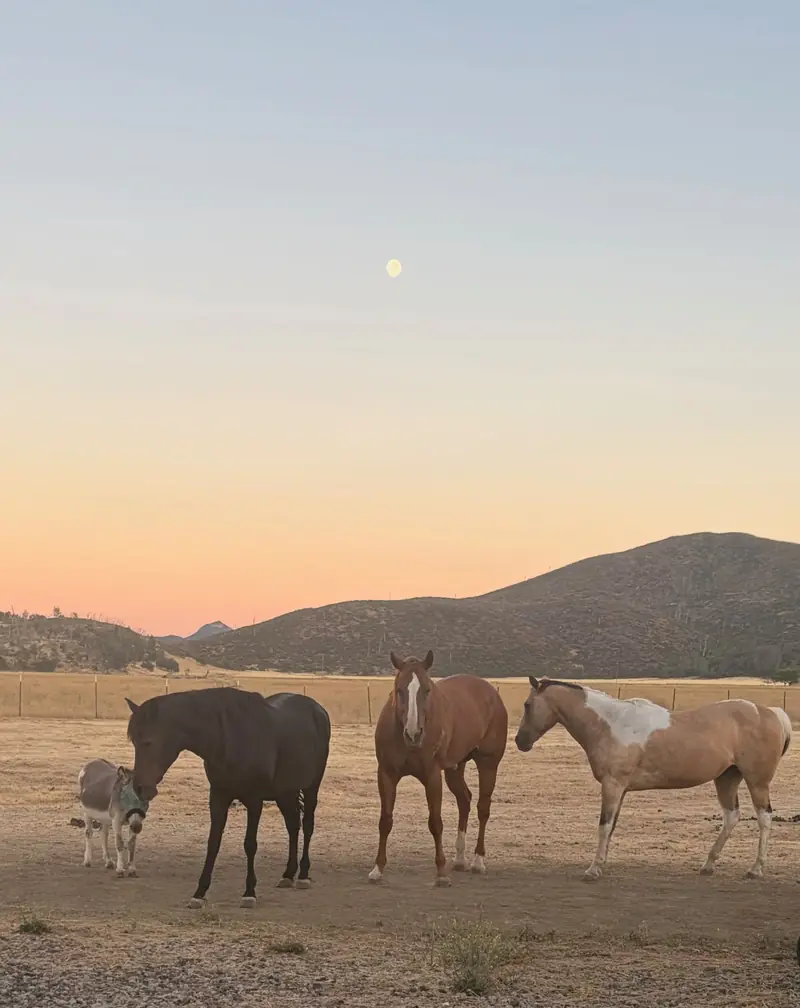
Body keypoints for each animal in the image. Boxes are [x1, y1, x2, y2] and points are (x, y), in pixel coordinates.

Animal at [125, 686, 330, 908]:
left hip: (311, 787)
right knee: (293, 826)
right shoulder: (218, 797)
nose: (140, 788)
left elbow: (250, 844)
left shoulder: (254, 800)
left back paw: (303, 875)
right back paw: (288, 874)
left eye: (148, 742)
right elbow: (213, 843)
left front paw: (249, 893)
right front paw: (199, 893)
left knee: (307, 825)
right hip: (284, 792)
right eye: (134, 742)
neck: (229, 739)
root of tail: (318, 709)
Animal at [369, 650, 508, 886]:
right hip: (455, 768)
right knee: (464, 800)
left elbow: (435, 822)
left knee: (483, 808)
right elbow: (385, 820)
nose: (414, 734)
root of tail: (491, 693)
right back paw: (460, 859)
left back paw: (477, 861)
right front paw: (378, 869)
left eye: (427, 690)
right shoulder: (386, 775)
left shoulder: (432, 776)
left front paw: (441, 873)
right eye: (399, 689)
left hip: (488, 764)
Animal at [514, 677, 792, 880]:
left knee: (764, 818)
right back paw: (708, 864)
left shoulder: (612, 785)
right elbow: (611, 827)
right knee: (731, 816)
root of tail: (771, 713)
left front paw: (593, 870)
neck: (611, 725)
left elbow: (604, 826)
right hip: (726, 779)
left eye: (527, 705)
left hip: (757, 782)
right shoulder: (620, 790)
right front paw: (602, 864)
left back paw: (756, 869)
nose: (519, 741)